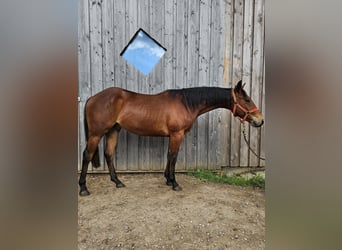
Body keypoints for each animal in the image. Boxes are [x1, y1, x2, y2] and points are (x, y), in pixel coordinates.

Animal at [79, 80, 264, 195]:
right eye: (247, 99)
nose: (260, 120)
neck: (186, 103)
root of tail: (92, 98)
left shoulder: (172, 136)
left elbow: (169, 155)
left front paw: (168, 180)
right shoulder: (177, 134)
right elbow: (174, 156)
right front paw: (174, 183)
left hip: (113, 130)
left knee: (109, 154)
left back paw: (117, 182)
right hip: (96, 134)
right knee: (87, 155)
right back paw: (83, 188)